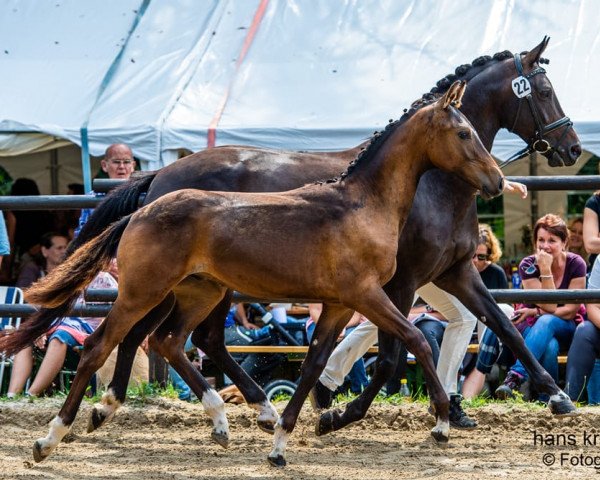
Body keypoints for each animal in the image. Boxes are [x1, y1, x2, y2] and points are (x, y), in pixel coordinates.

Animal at [5, 82, 506, 464]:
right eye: (464, 132)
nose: (498, 181)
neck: (363, 204)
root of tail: (142, 209)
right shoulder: (369, 294)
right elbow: (416, 339)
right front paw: (441, 424)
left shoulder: (340, 305)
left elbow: (313, 364)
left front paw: (281, 442)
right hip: (141, 293)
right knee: (100, 347)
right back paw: (50, 439)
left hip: (199, 294)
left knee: (170, 341)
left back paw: (222, 420)